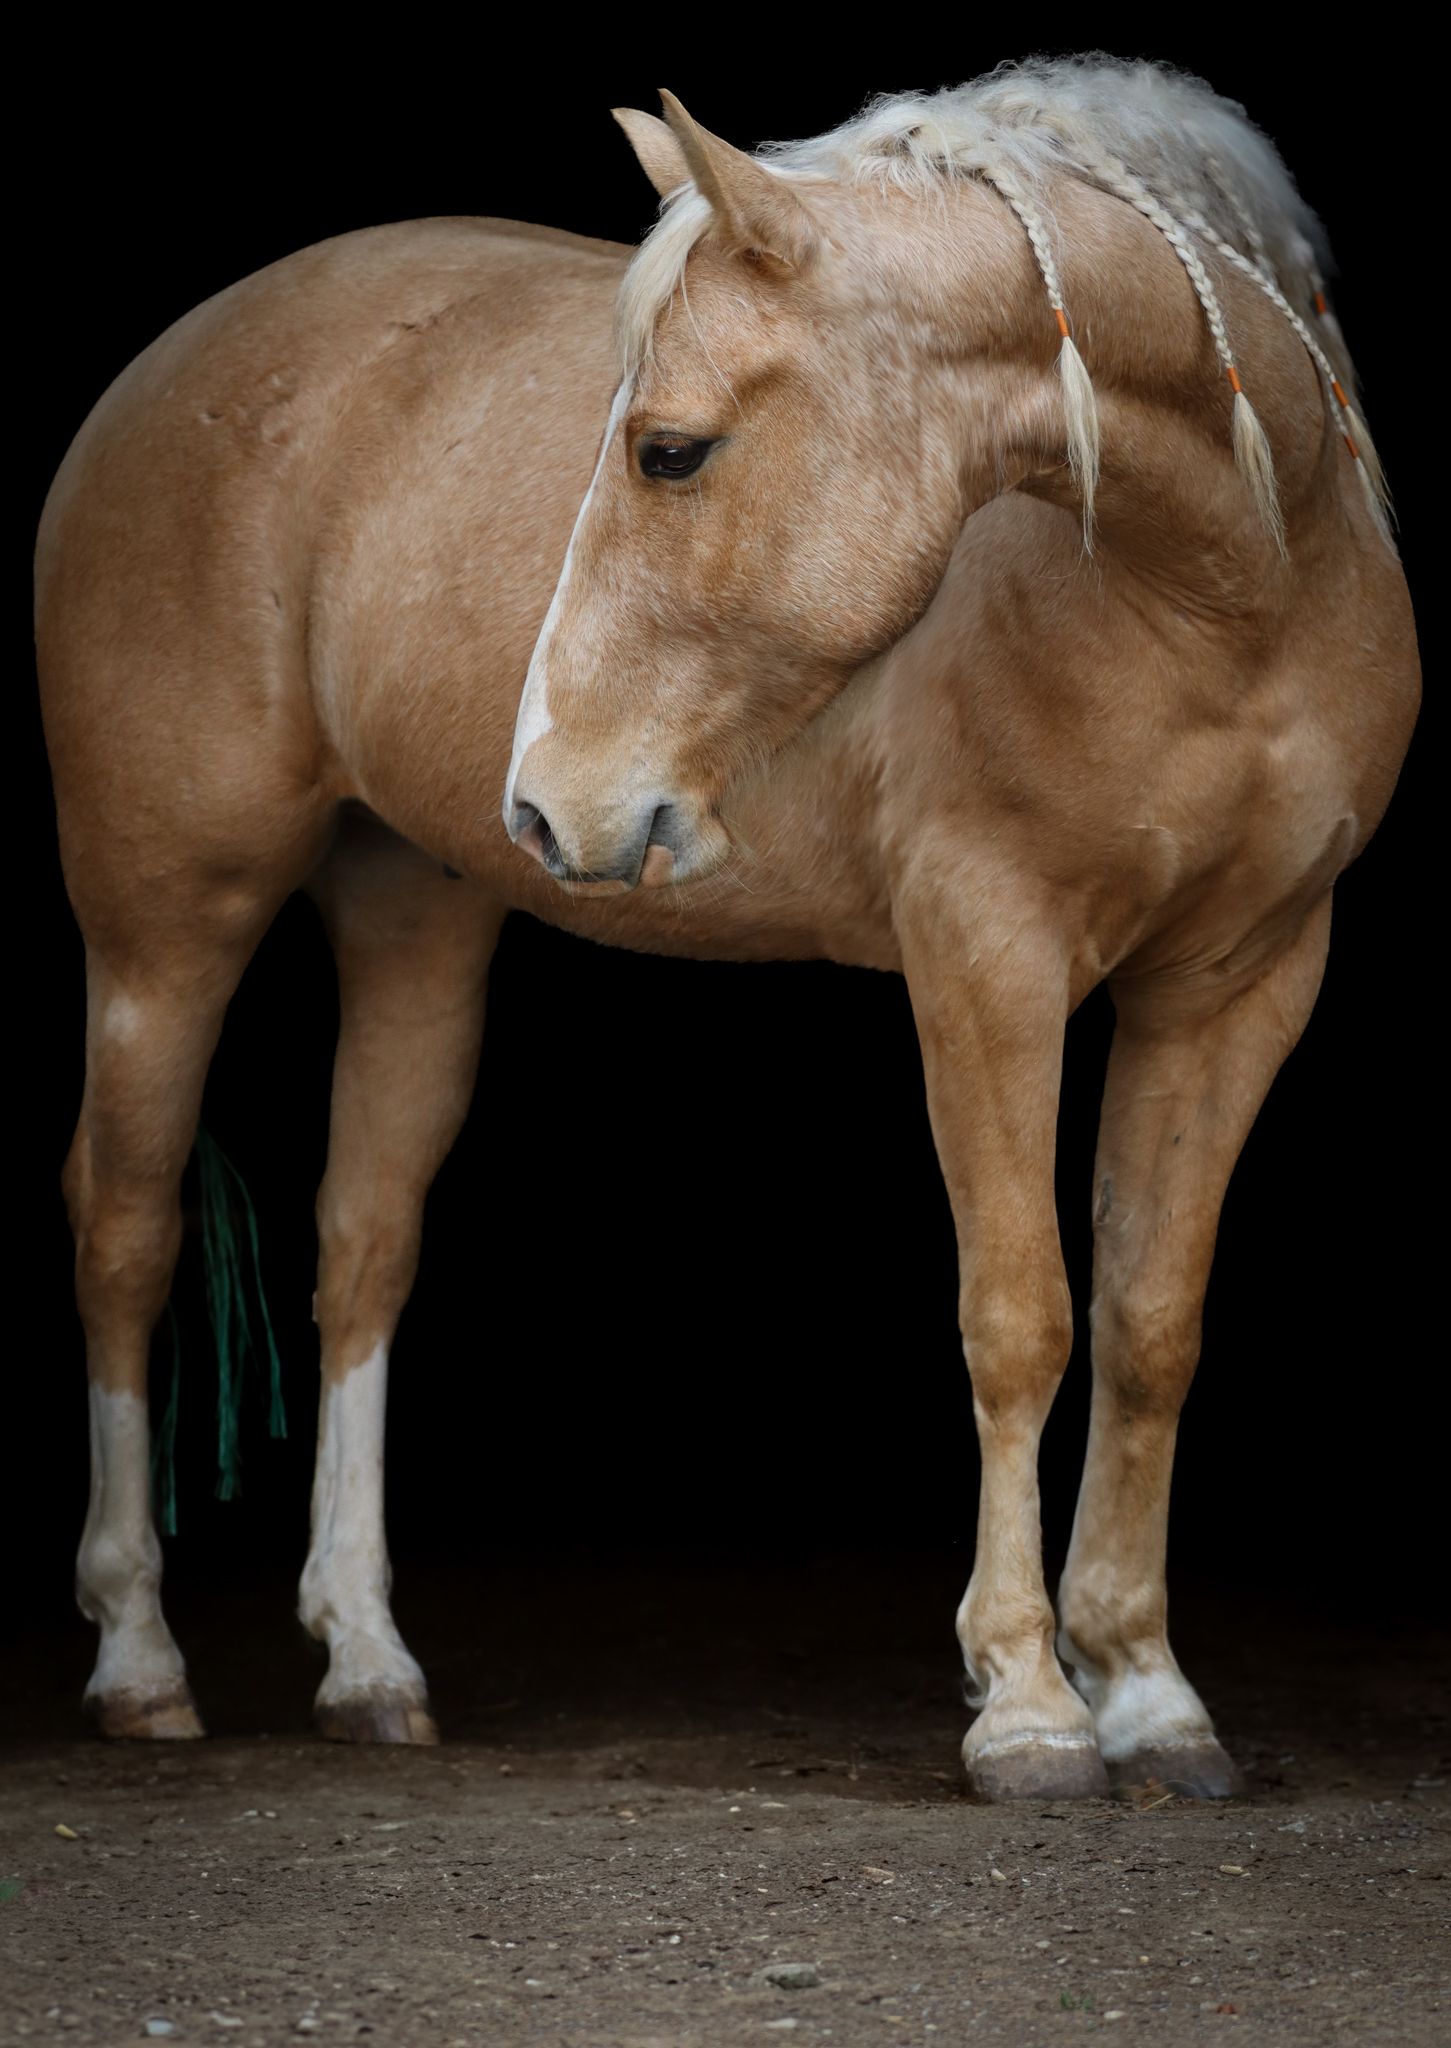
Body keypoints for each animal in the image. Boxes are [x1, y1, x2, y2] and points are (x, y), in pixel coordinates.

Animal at [36, 57, 1419, 1802]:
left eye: (669, 453)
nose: (547, 799)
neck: (1227, 593)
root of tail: (171, 365)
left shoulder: (1239, 985)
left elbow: (1147, 1323)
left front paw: (1150, 1695)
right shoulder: (988, 963)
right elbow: (1018, 1317)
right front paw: (1028, 1705)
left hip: (411, 911)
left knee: (363, 1246)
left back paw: (365, 1661)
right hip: (165, 927)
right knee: (124, 1231)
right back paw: (138, 1659)